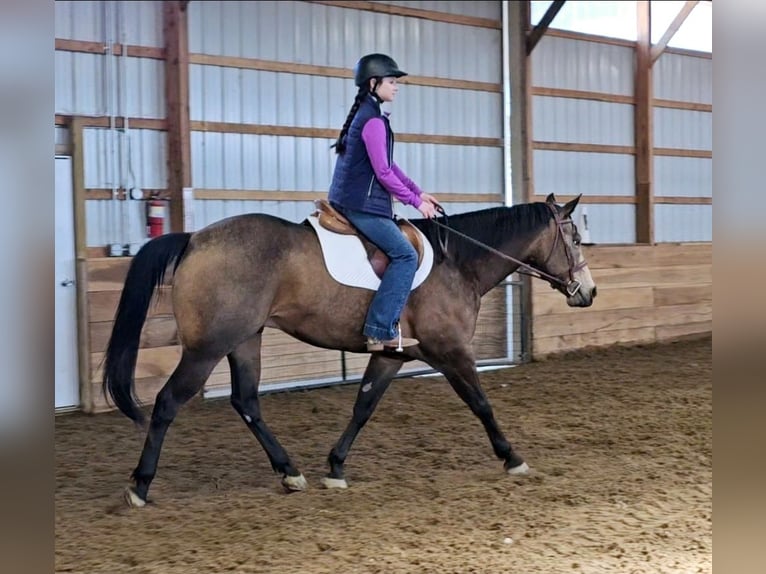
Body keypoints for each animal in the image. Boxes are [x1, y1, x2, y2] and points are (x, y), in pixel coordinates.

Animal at [102, 192, 596, 507]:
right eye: (573, 239)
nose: (588, 292)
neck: (457, 261)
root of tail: (195, 239)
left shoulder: (391, 355)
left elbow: (363, 406)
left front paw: (336, 467)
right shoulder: (451, 350)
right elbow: (481, 403)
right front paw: (512, 457)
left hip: (245, 340)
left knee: (246, 402)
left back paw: (289, 472)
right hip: (208, 348)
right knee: (168, 403)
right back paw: (140, 486)